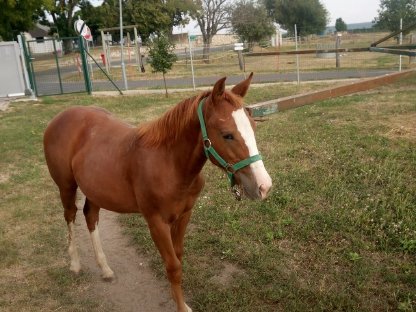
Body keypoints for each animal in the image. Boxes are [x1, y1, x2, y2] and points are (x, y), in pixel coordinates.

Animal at [44, 73, 272, 312]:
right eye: (227, 135)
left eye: (253, 127)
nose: (263, 186)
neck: (169, 163)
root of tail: (60, 116)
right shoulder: (156, 222)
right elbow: (173, 266)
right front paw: (181, 306)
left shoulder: (184, 215)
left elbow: (178, 257)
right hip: (66, 186)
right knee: (70, 215)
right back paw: (75, 264)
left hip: (95, 189)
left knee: (90, 216)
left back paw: (105, 269)